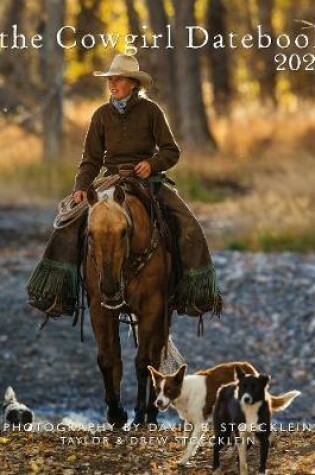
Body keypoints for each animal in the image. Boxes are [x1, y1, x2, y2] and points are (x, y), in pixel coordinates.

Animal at [85, 182, 172, 428]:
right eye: (90, 233)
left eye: (124, 231)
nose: (110, 287)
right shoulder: (99, 309)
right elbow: (107, 358)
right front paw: (115, 413)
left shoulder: (152, 308)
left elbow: (143, 361)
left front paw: (139, 415)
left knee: (155, 357)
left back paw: (151, 415)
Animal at [148, 362, 302, 466]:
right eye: (157, 390)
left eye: (168, 390)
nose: (158, 403)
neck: (184, 392)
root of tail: (249, 368)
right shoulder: (189, 421)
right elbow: (186, 439)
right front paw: (187, 454)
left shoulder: (200, 423)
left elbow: (191, 443)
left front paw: (184, 460)